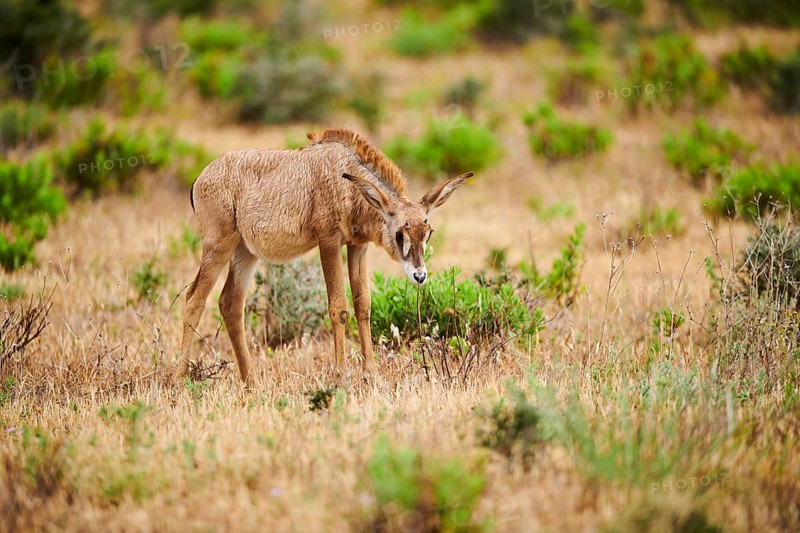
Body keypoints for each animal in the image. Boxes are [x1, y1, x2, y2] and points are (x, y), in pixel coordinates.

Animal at [175, 128, 473, 385]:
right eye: (400, 232)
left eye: (428, 231)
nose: (419, 275)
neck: (349, 182)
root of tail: (200, 179)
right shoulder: (328, 241)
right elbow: (338, 307)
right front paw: (341, 375)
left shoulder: (357, 246)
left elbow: (363, 305)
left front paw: (372, 374)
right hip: (218, 246)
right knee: (194, 300)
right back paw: (179, 380)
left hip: (245, 252)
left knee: (230, 303)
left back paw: (252, 382)